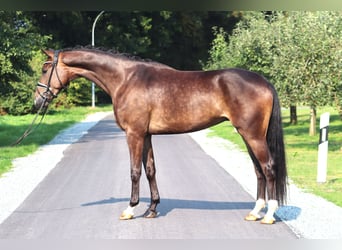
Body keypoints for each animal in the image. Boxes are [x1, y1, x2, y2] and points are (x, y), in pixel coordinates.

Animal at [34, 47, 286, 225]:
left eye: (45, 69)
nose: (37, 102)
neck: (125, 79)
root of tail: (264, 82)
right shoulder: (146, 135)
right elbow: (150, 170)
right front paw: (152, 209)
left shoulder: (134, 134)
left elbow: (135, 171)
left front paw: (130, 209)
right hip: (247, 135)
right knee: (258, 171)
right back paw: (254, 212)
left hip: (253, 136)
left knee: (268, 168)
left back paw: (268, 215)